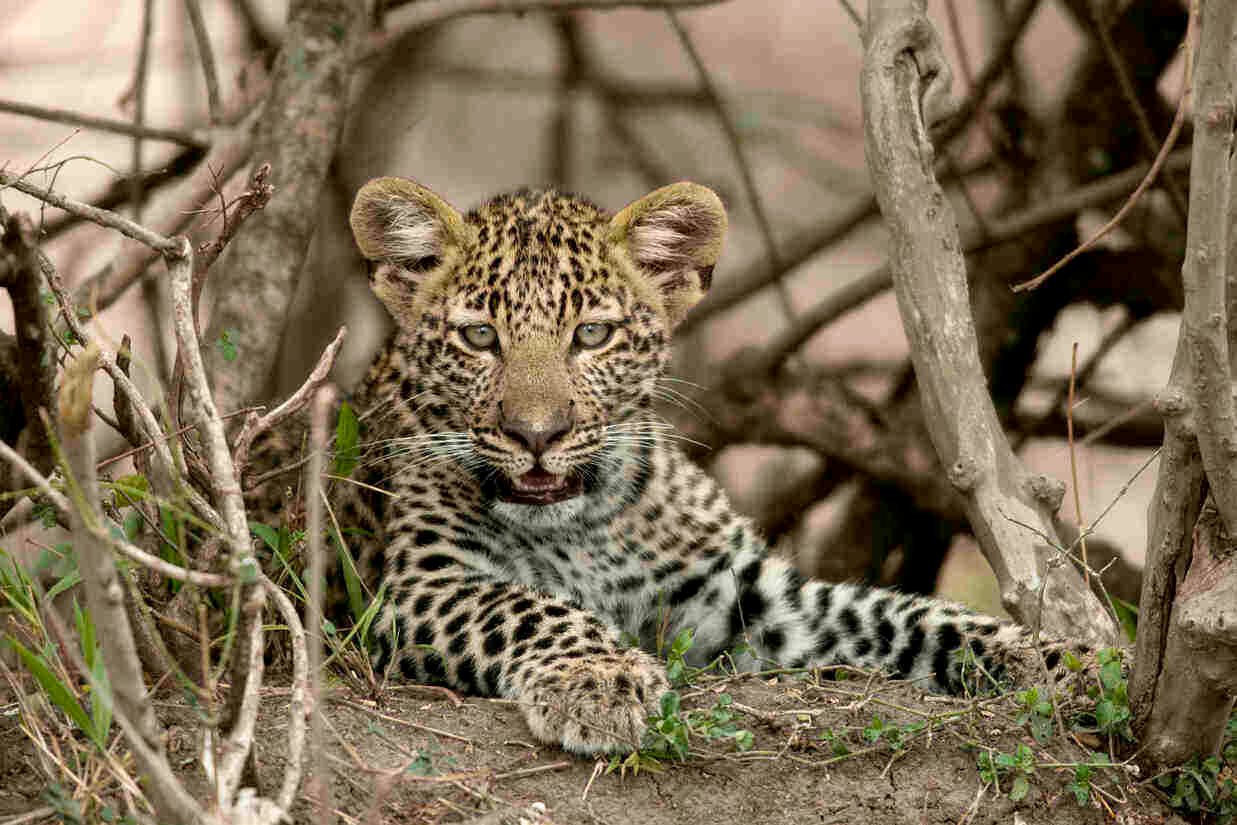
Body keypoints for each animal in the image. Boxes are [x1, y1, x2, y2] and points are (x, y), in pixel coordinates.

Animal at [294, 177, 1070, 755]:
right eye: (480, 338)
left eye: (592, 335)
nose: (536, 434)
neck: (580, 527)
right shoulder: (415, 588)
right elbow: (524, 606)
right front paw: (598, 678)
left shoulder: (749, 594)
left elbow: (895, 611)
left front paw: (1056, 658)